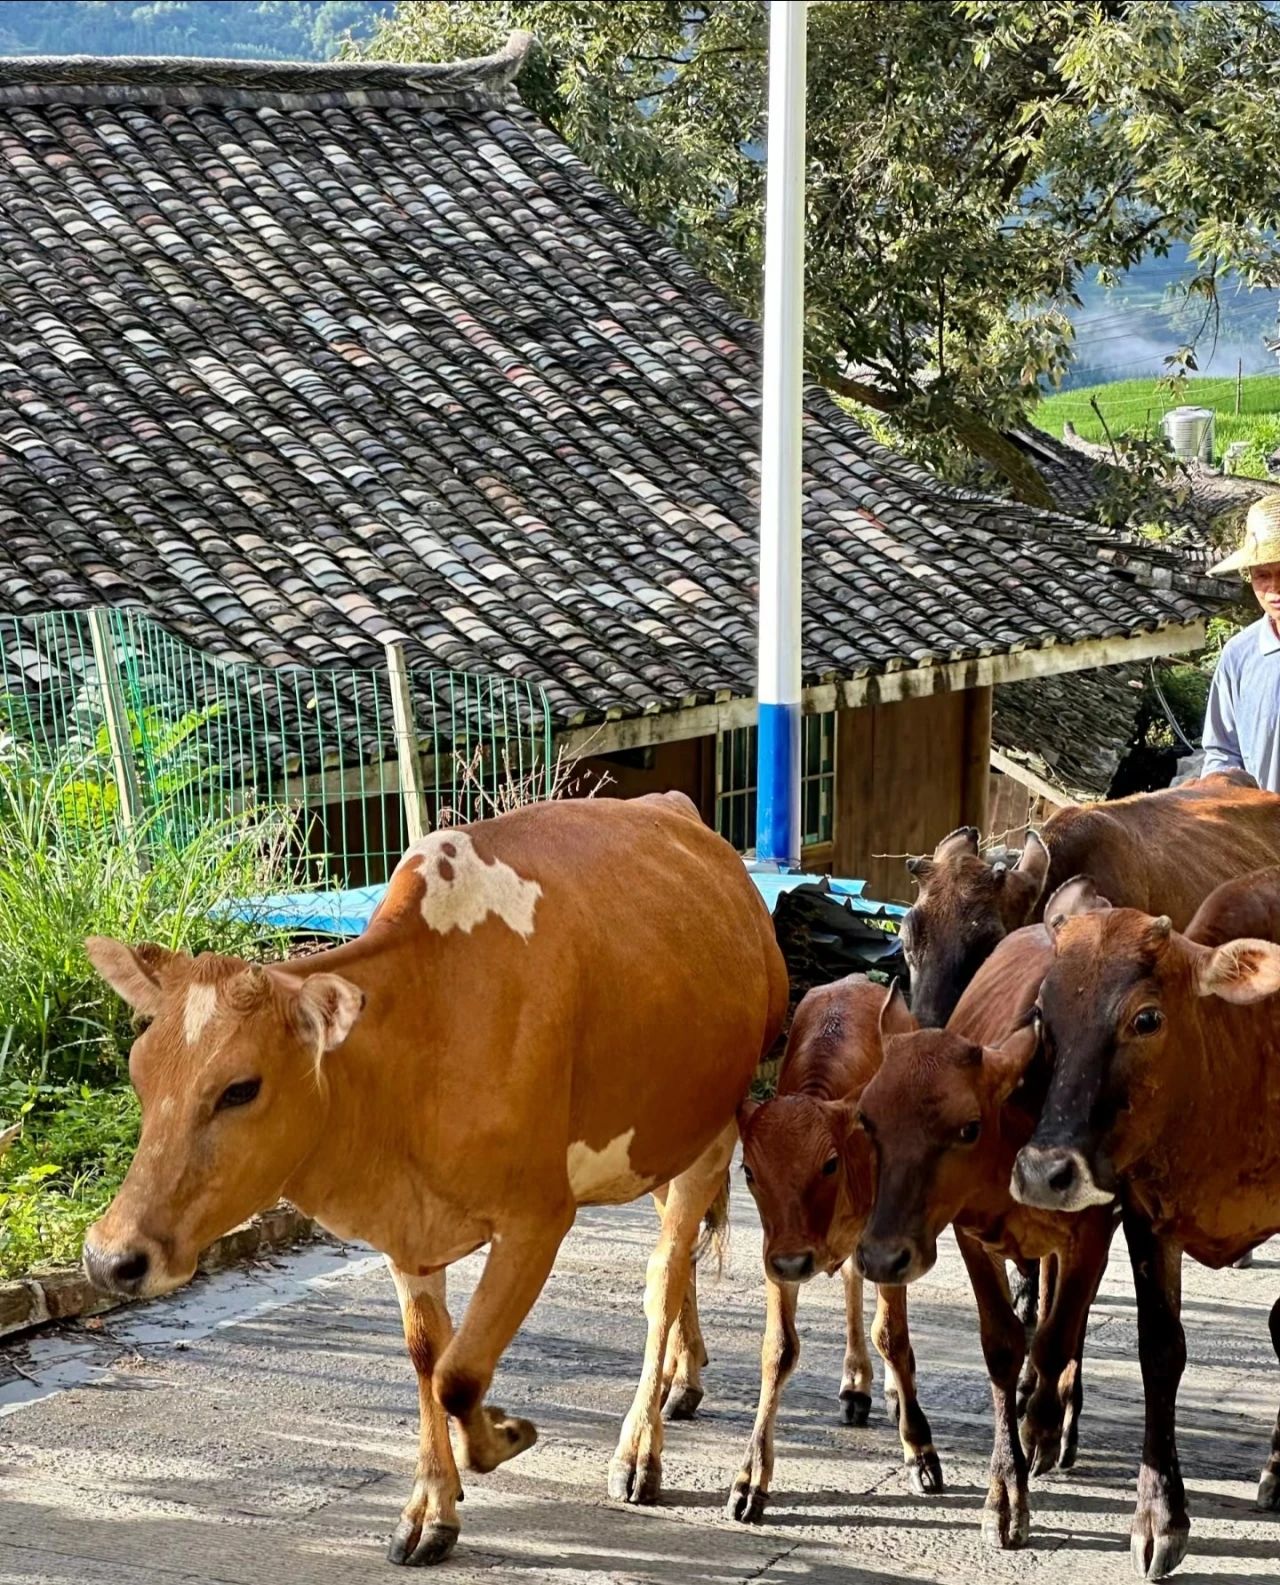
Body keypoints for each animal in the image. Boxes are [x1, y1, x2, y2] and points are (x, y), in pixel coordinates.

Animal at [80, 798, 788, 1565]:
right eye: (139, 1071)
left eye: (240, 1088)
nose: (108, 1257)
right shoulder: (408, 1232)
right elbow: (429, 1358)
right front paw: (431, 1510)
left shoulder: (539, 1217)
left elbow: (460, 1374)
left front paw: (505, 1434)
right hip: (656, 1140)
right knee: (676, 1260)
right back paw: (683, 1378)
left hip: (714, 1130)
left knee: (664, 1273)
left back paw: (639, 1450)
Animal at [725, 976, 944, 1521]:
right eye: (749, 1171)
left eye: (828, 1164)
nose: (795, 1260)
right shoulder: (776, 1252)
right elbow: (779, 1351)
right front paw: (750, 1478)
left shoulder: (887, 1241)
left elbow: (893, 1335)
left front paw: (920, 1451)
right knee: (850, 1281)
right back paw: (857, 1384)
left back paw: (892, 1392)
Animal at [855, 925, 1115, 1553]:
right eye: (868, 1119)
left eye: (967, 1127)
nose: (882, 1255)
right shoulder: (971, 1233)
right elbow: (1003, 1343)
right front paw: (1004, 1488)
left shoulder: (1096, 1228)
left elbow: (1058, 1335)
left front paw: (1041, 1430)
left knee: (1065, 1322)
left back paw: (1058, 1419)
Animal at [1013, 874, 1280, 1578]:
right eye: (1044, 1014)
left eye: (1146, 1018)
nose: (1044, 1170)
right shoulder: (1145, 1215)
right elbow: (1160, 1350)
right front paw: (1160, 1515)